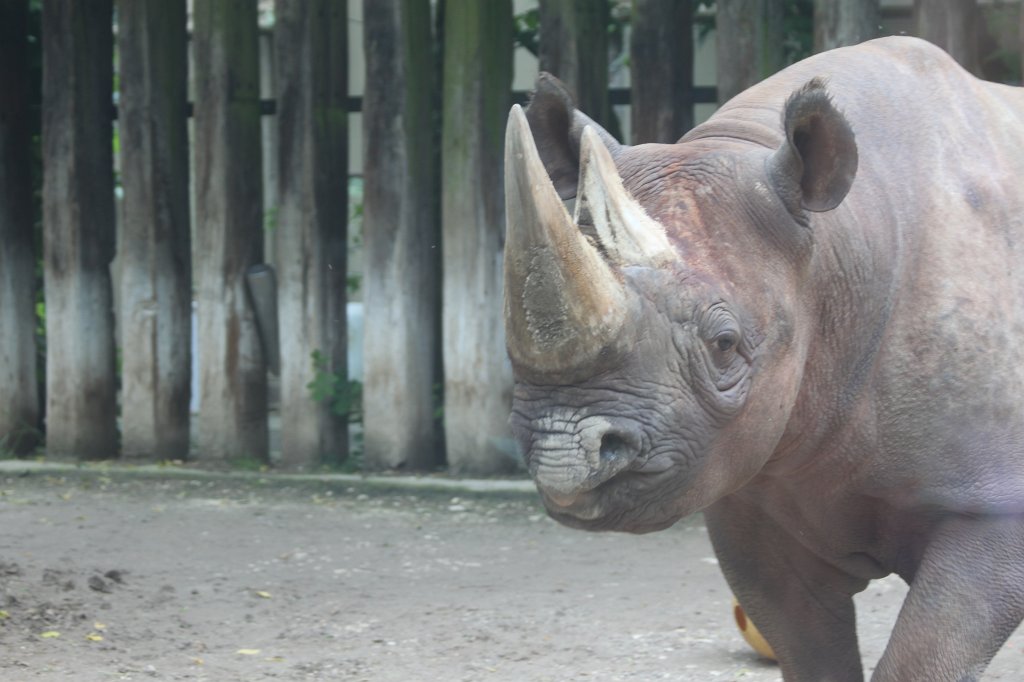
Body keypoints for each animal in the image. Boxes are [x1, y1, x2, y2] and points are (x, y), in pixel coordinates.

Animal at [503, 37, 1024, 681]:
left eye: (725, 345)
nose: (563, 454)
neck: (837, 245)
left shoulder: (994, 507)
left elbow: (921, 661)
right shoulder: (755, 495)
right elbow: (809, 651)